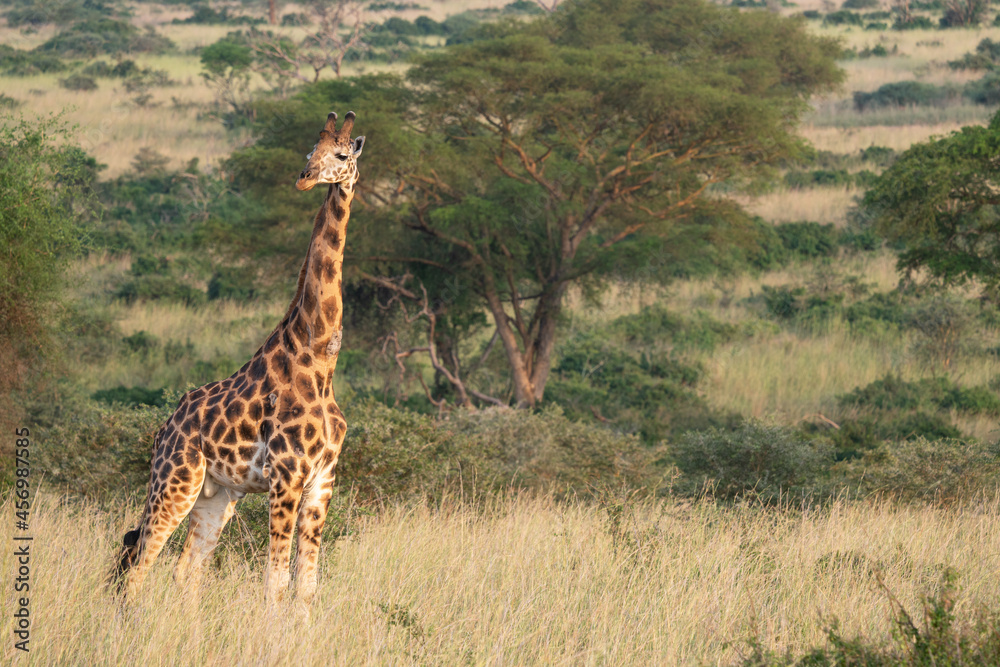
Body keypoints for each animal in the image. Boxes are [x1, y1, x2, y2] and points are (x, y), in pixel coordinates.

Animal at [113, 111, 366, 605]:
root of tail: (163, 429)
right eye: (310, 151)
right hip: (176, 481)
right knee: (139, 564)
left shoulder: (322, 480)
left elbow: (306, 585)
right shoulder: (286, 475)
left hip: (218, 495)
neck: (320, 361)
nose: (305, 178)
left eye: (342, 155)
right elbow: (276, 580)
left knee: (185, 571)